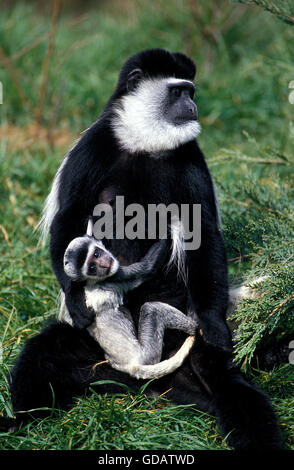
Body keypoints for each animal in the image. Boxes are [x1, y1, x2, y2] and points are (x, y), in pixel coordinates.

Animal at [64, 221, 198, 382]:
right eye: (92, 267)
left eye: (96, 254)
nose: (104, 264)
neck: (90, 281)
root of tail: (130, 366)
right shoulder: (114, 276)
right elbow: (148, 268)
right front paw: (167, 232)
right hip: (147, 354)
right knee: (151, 309)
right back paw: (193, 326)